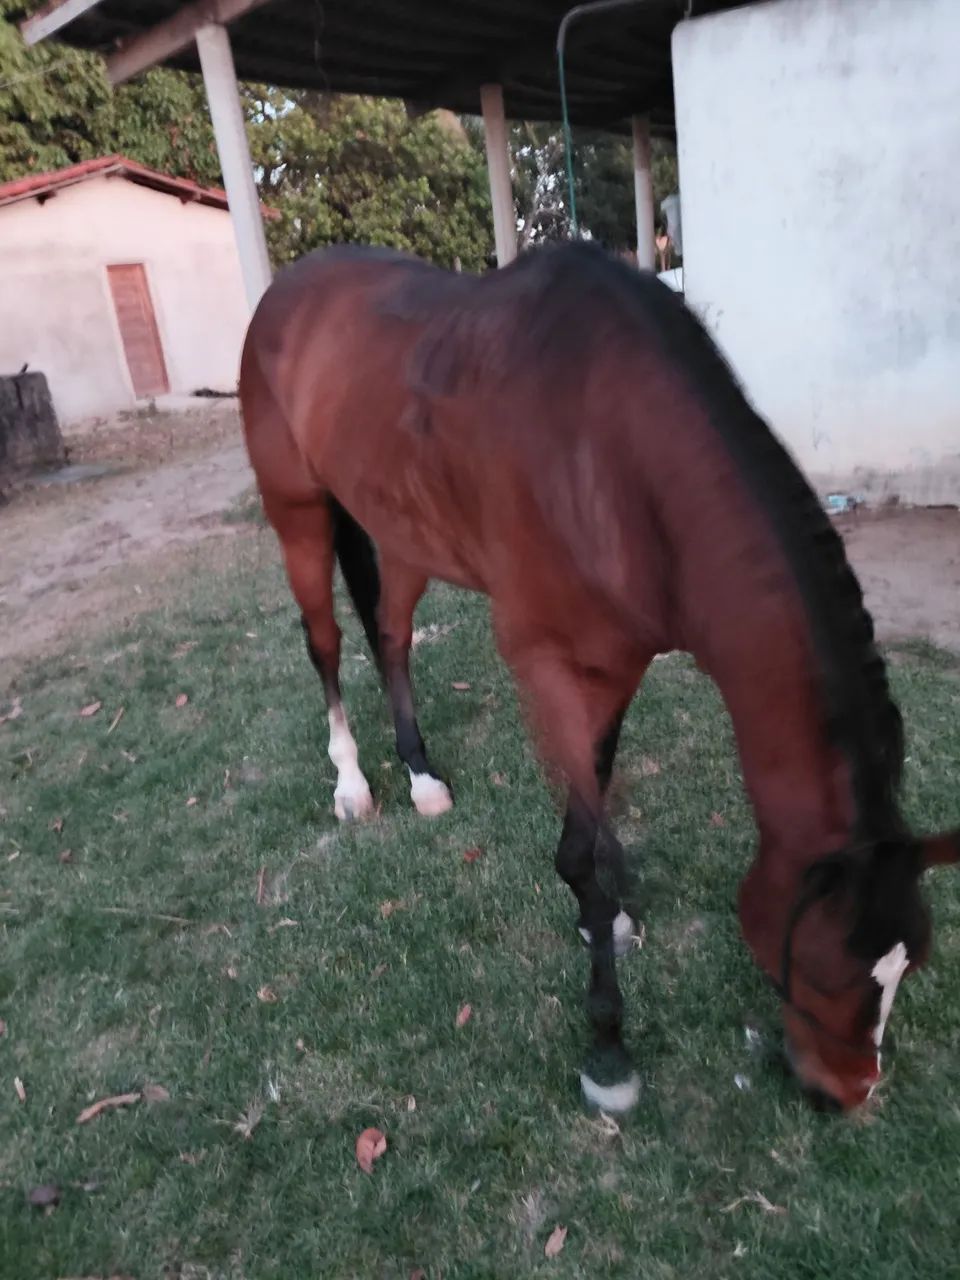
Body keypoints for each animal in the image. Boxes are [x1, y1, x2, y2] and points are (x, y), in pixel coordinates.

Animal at [239, 241, 958, 1114]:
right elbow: (575, 848)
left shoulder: (620, 662)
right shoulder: (545, 661)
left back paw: (420, 775)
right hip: (298, 514)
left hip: (402, 527)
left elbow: (598, 791)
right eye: (821, 968)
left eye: (909, 965)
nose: (845, 1095)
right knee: (327, 644)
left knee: (391, 636)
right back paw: (351, 781)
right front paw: (608, 1048)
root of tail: (289, 287)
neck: (611, 456)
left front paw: (608, 914)